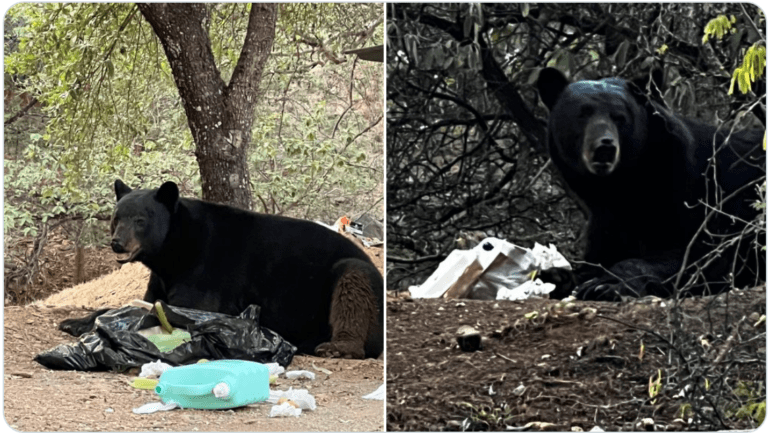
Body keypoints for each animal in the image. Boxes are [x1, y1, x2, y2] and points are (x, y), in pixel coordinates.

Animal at [59, 179, 384, 359]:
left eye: (140, 220)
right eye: (117, 217)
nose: (117, 243)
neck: (175, 251)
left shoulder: (207, 269)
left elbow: (184, 305)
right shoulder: (162, 277)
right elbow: (146, 300)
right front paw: (75, 321)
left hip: (354, 273)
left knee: (353, 290)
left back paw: (338, 346)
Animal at [535, 67, 765, 301]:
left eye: (620, 117)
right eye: (582, 114)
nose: (605, 147)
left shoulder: (701, 194)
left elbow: (701, 254)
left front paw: (606, 284)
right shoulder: (606, 220)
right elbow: (600, 255)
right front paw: (556, 276)